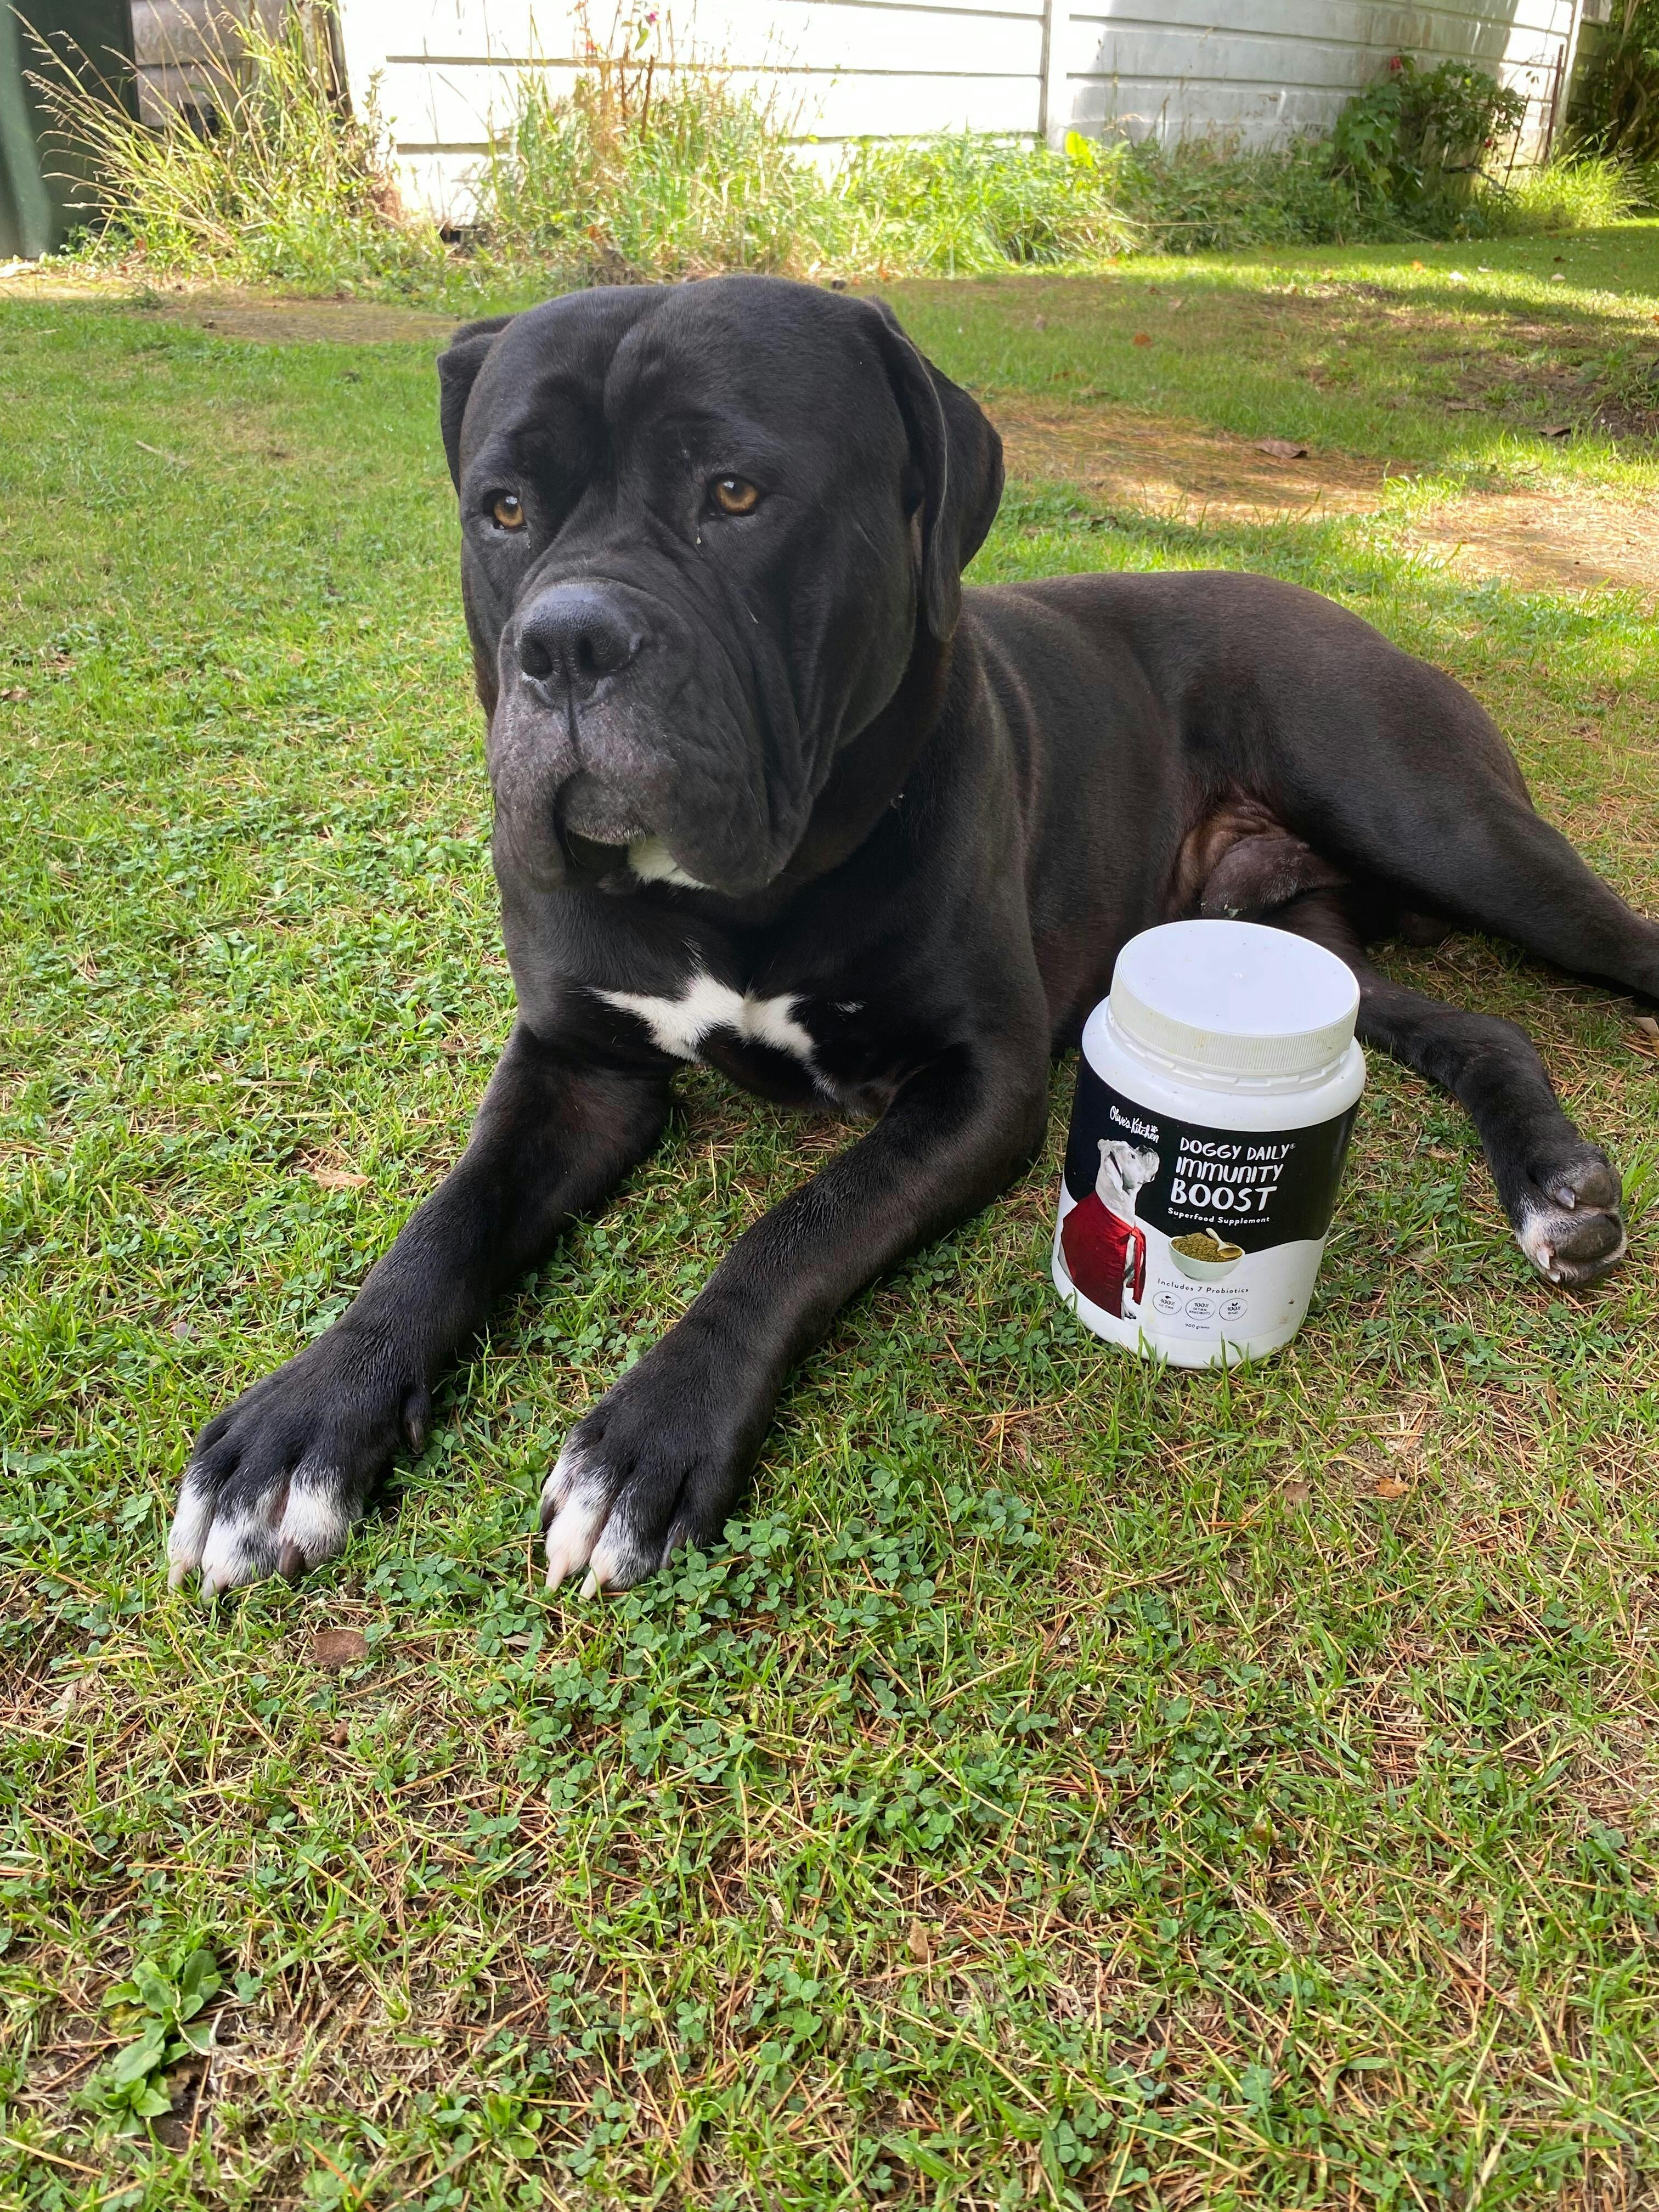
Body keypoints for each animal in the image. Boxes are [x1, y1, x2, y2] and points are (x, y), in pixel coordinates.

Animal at [167, 275, 1655, 1600]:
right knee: (1472, 1021)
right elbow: (447, 1221)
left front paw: (647, 1441)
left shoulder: (975, 1084)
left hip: (1445, 824)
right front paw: (301, 1427)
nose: (567, 641)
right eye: (506, 510)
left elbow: (792, 1230)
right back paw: (1554, 1191)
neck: (725, 897)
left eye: (736, 496)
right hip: (1282, 935)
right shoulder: (576, 1067)